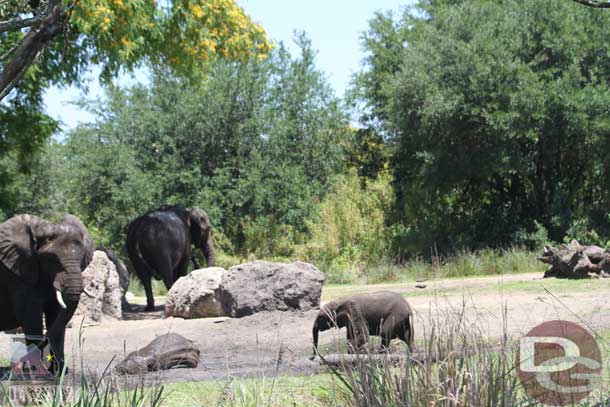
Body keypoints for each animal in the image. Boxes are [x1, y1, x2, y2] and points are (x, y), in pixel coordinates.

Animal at [0, 214, 92, 376]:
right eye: (51, 259)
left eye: (81, 257)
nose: (17, 364)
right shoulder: (19, 274)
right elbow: (31, 317)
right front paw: (37, 372)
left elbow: (55, 315)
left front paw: (59, 372)